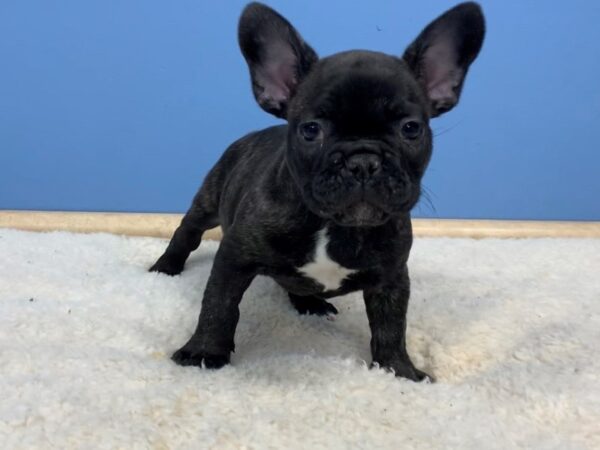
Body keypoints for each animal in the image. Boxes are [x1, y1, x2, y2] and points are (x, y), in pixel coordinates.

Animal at [149, 1, 482, 382]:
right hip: (209, 200)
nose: (362, 161)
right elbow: (219, 306)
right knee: (187, 231)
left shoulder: (392, 277)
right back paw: (165, 267)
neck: (332, 224)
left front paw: (398, 370)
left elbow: (391, 325)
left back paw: (308, 302)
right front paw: (204, 351)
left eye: (411, 129)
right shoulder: (235, 257)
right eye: (311, 130)